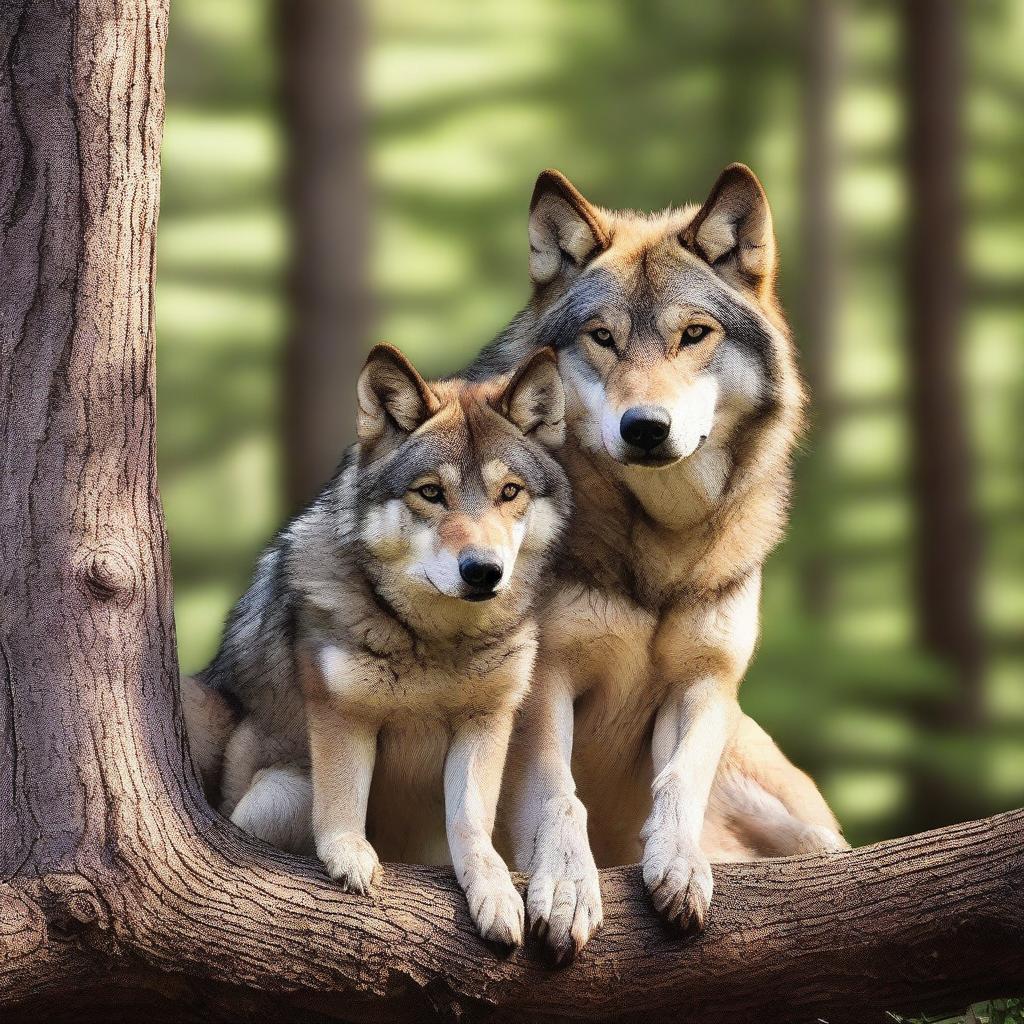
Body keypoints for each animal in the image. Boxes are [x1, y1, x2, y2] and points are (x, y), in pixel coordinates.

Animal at [187, 342, 573, 942]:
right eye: (431, 493)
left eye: (510, 492)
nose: (483, 571)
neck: (436, 642)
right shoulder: (342, 713)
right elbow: (342, 804)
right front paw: (350, 859)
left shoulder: (486, 722)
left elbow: (470, 824)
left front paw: (495, 893)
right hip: (267, 777)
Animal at [464, 163, 847, 962]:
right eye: (602, 339)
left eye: (693, 334)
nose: (645, 427)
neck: (664, 545)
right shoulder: (544, 684)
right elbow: (560, 798)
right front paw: (567, 891)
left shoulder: (706, 682)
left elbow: (679, 781)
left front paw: (680, 868)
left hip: (796, 812)